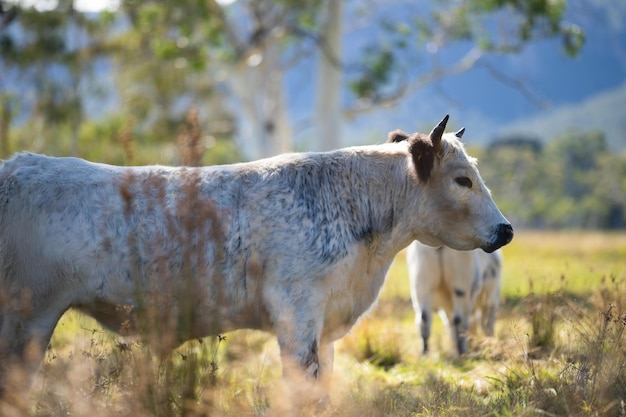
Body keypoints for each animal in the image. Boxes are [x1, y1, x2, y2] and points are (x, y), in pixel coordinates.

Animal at [0, 115, 512, 408]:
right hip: (28, 318)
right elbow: (306, 389)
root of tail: (17, 165)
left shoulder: (323, 326)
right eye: (462, 179)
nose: (505, 229)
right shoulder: (297, 313)